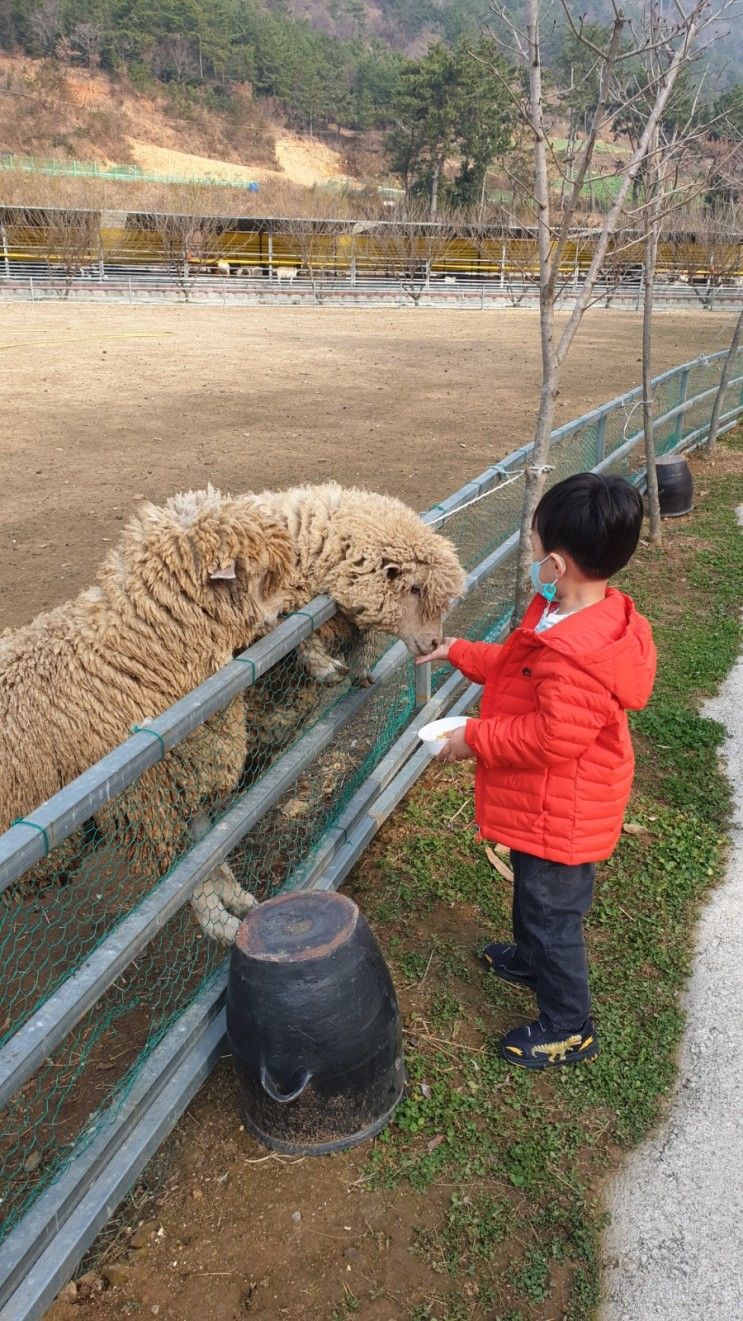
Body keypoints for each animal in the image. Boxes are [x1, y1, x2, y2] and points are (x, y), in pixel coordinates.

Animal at [2, 486, 292, 940]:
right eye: (265, 576)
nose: (294, 606)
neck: (133, 652)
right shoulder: (148, 799)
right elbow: (182, 877)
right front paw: (220, 923)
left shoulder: (183, 772)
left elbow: (206, 848)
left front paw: (235, 897)